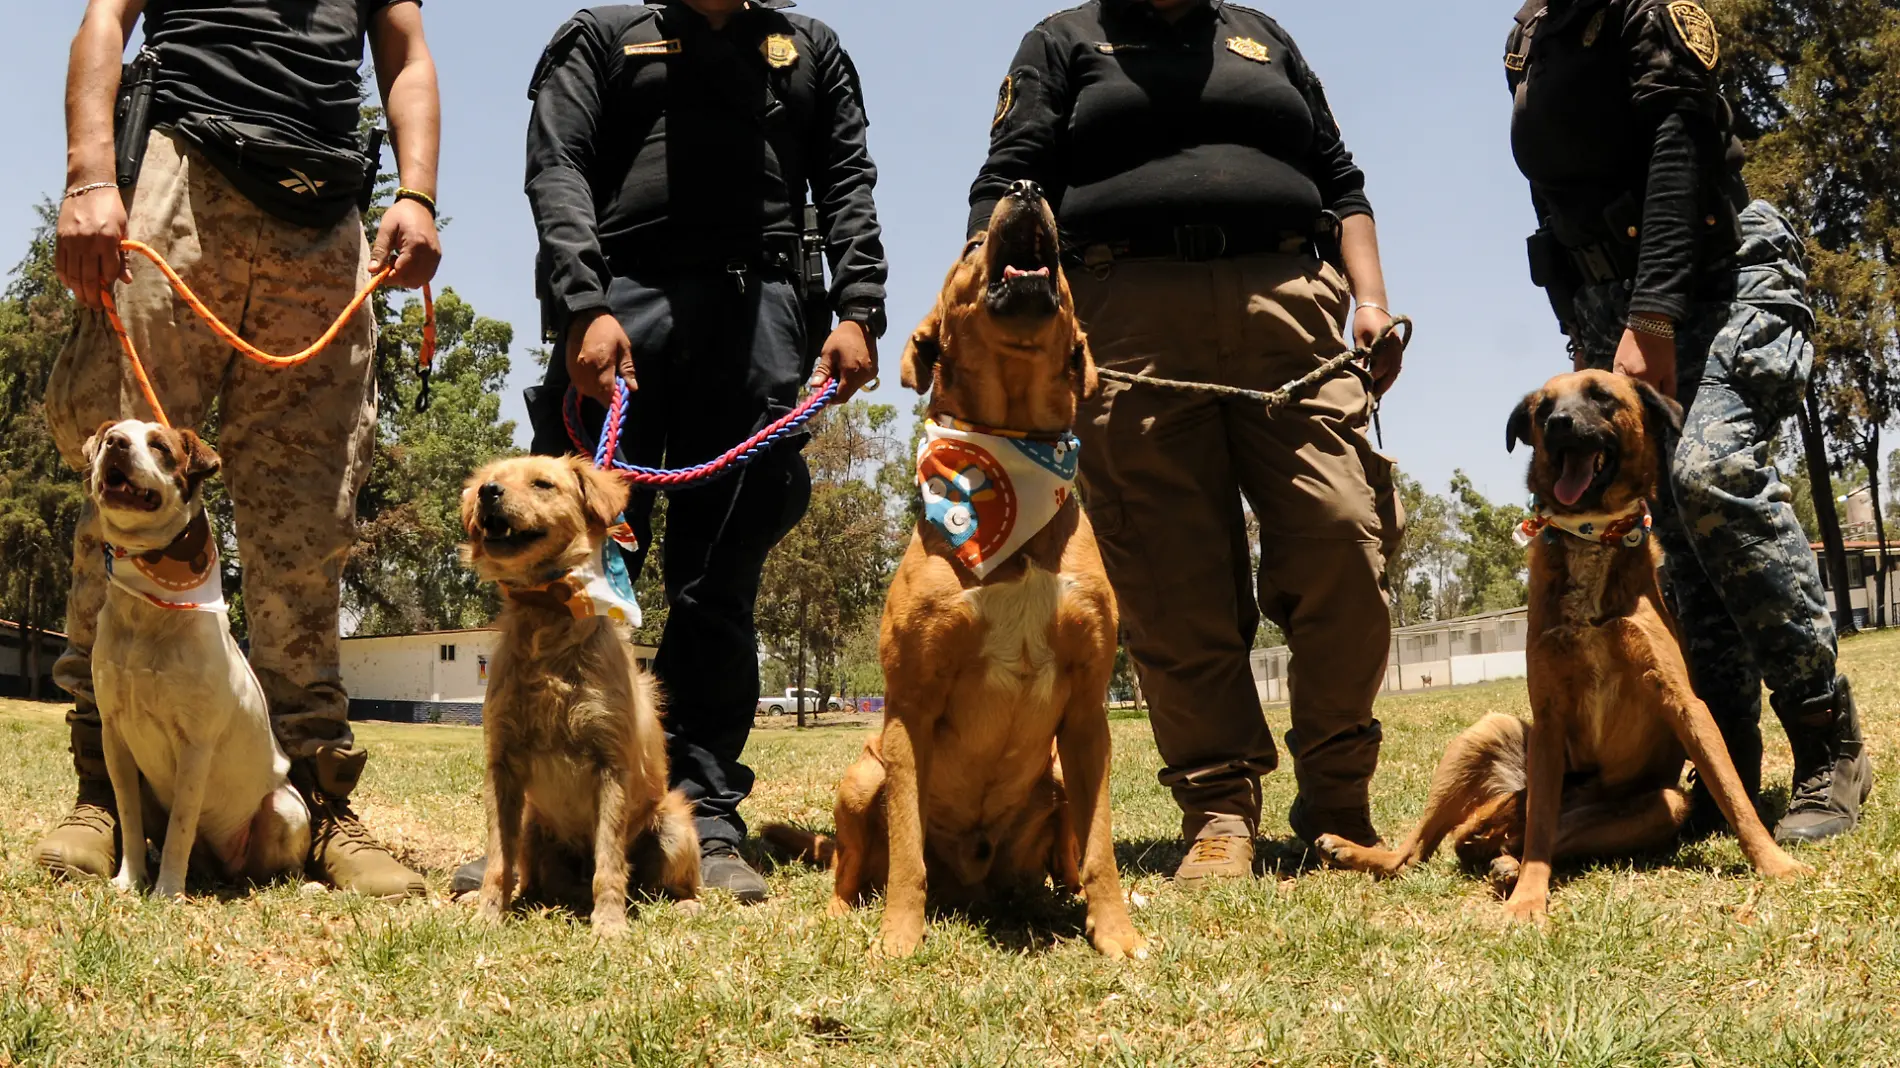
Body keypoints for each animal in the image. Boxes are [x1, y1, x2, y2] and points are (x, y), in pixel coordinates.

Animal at [85, 419, 307, 893]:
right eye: (113, 432)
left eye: (159, 446)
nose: (115, 443)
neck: (148, 606)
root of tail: (227, 869)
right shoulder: (114, 735)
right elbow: (129, 818)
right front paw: (129, 880)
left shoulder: (195, 743)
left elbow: (180, 829)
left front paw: (168, 891)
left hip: (284, 808)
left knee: (281, 870)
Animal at [459, 452, 699, 934]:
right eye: (493, 479)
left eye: (542, 484)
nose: (487, 492)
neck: (548, 615)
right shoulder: (502, 765)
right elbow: (498, 860)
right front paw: (488, 913)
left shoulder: (611, 765)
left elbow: (609, 863)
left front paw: (609, 925)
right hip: (532, 827)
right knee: (532, 876)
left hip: (675, 825)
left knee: (669, 883)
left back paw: (685, 903)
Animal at [756, 182, 1140, 957]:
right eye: (970, 246)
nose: (1026, 189)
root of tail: (977, 886)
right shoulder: (911, 706)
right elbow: (907, 851)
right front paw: (900, 938)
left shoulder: (1089, 715)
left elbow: (1100, 847)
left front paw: (1116, 933)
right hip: (861, 773)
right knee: (849, 863)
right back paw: (843, 913)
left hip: (1055, 775)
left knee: (1061, 858)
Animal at [1314, 372, 1801, 915]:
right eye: (1543, 408)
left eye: (1601, 396)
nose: (1559, 424)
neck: (1590, 534)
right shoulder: (1546, 718)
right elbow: (1541, 831)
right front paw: (1529, 899)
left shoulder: (1683, 702)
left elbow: (1732, 792)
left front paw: (1776, 863)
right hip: (1487, 736)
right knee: (1420, 851)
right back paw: (1358, 850)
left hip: (1664, 805)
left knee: (1529, 840)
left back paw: (1503, 863)